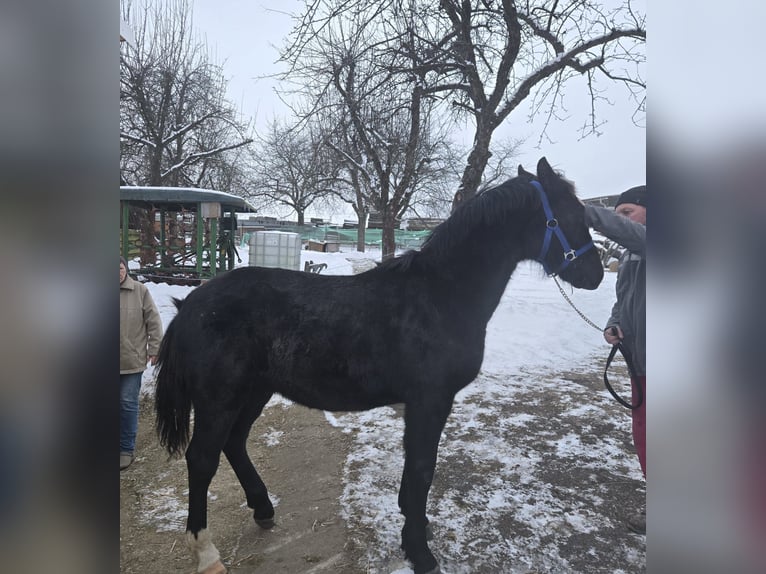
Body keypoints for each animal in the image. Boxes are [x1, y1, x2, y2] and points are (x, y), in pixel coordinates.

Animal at [154, 157, 604, 574]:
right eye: (572, 216)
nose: (596, 275)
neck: (441, 296)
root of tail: (190, 305)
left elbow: (415, 474)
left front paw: (415, 527)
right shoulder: (430, 401)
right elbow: (422, 469)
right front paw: (420, 551)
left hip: (254, 391)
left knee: (234, 443)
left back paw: (264, 509)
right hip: (220, 399)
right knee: (202, 459)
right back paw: (206, 552)